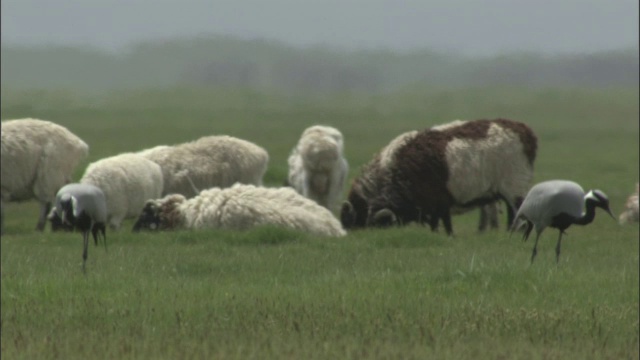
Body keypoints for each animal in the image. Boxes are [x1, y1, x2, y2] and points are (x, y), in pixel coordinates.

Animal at [342, 119, 536, 236]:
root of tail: (525, 131)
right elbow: (437, 223)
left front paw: (449, 236)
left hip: (515, 187)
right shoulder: (433, 206)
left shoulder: (438, 201)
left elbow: (444, 223)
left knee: (517, 211)